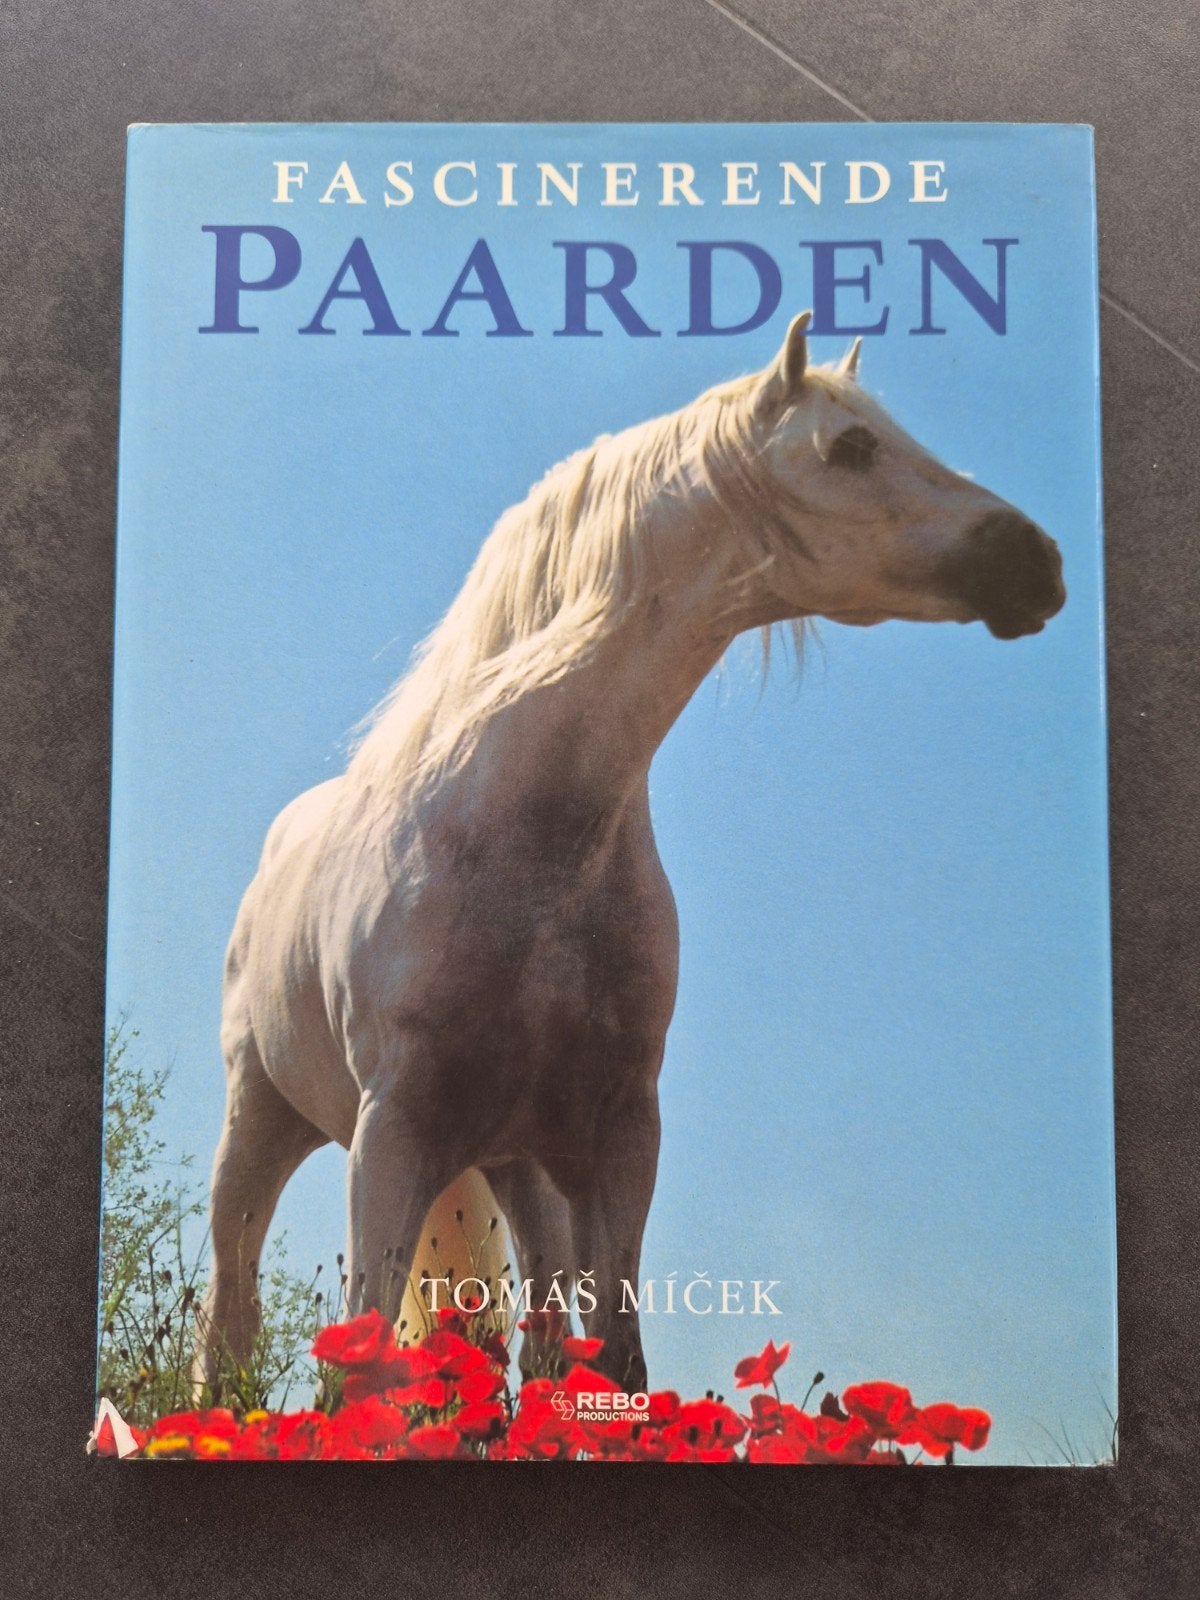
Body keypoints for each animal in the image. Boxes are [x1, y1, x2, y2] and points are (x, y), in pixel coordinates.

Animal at [193, 313, 1065, 1395]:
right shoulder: (390, 1132)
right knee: (229, 1317)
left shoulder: (615, 1137)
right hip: (262, 1126)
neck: (528, 845)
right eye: (853, 446)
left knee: (531, 1340)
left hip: (518, 1167)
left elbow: (615, 1358)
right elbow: (360, 1365)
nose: (1038, 560)